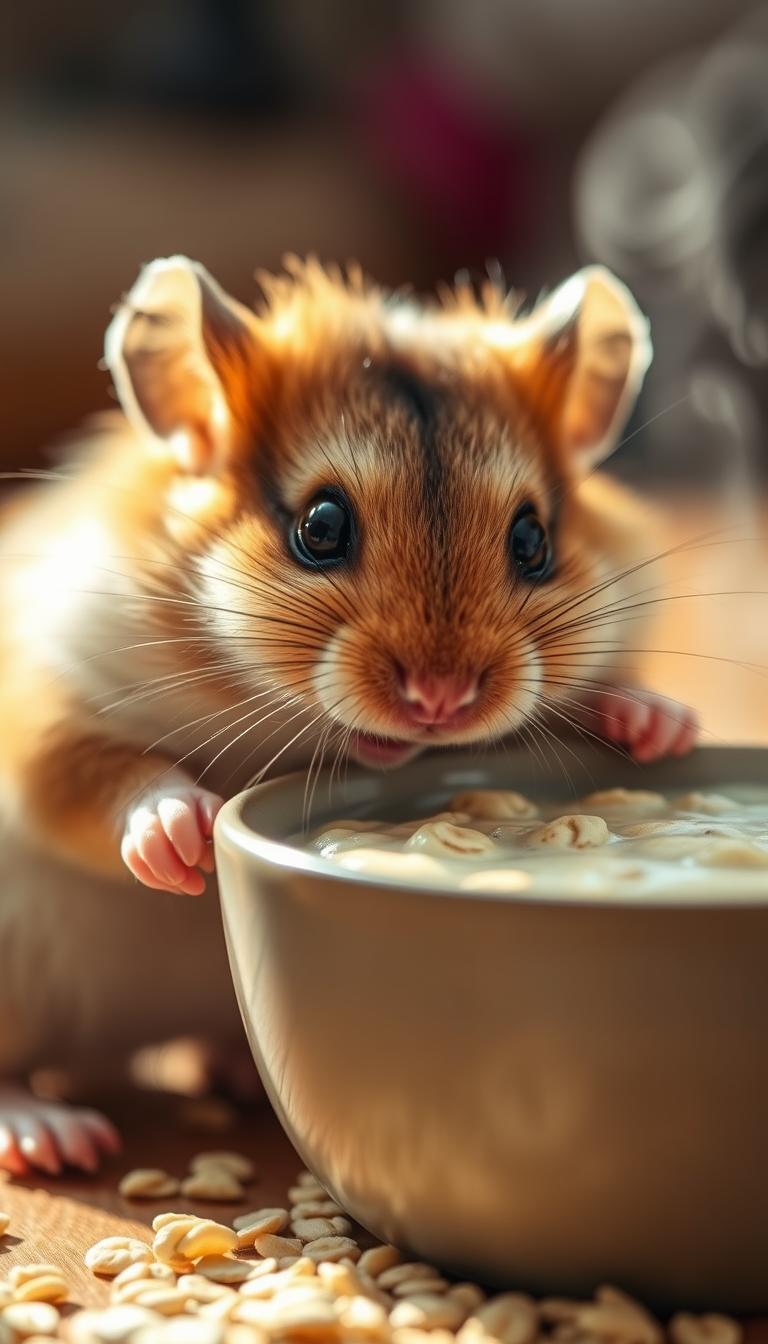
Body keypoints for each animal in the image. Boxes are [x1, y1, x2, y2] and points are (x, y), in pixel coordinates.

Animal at [0, 256, 697, 1174]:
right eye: (320, 527)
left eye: (534, 542)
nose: (440, 700)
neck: (262, 711)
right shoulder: (43, 693)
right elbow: (94, 777)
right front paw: (189, 842)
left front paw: (657, 726)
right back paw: (56, 1141)